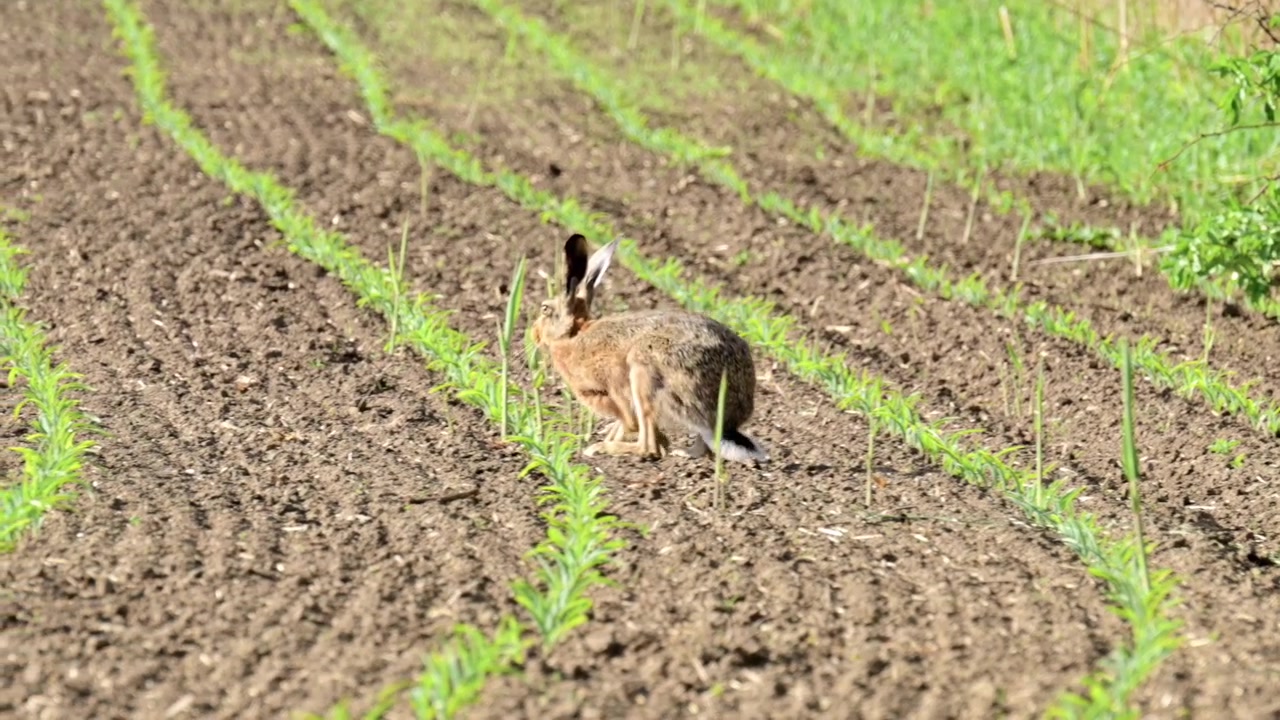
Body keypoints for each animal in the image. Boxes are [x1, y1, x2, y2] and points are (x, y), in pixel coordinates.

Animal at [530, 233, 768, 464]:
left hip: (644, 372)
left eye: (544, 309)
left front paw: (607, 442)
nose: (534, 334)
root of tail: (727, 421)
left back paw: (603, 448)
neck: (574, 334)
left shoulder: (615, 387)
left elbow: (630, 423)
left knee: (648, 445)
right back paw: (682, 453)